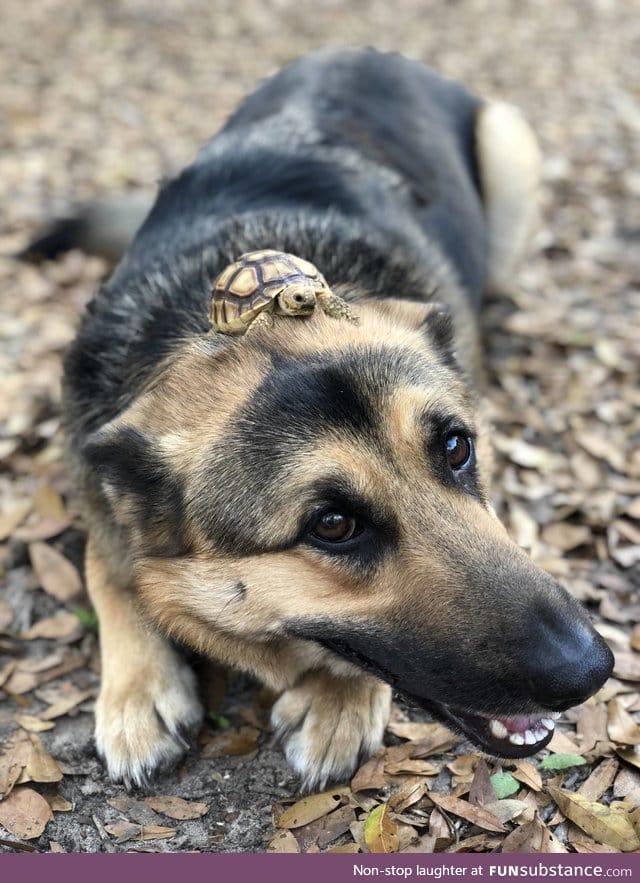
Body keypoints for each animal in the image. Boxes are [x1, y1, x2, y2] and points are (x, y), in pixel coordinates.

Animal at [40, 48, 616, 792]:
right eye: (333, 525)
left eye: (456, 448)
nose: (593, 670)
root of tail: (366, 52)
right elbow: (106, 563)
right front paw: (139, 688)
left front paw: (338, 697)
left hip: (510, 146)